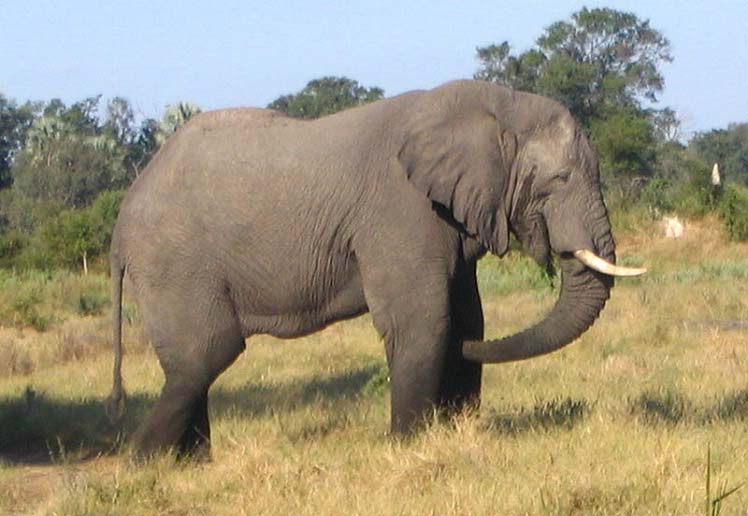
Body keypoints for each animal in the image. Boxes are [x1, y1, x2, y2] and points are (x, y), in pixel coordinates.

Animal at [107, 79, 644, 458]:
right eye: (560, 179)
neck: (493, 104)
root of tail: (119, 226)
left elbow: (466, 318)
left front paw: (453, 426)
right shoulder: (400, 210)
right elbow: (425, 321)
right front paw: (407, 445)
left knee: (194, 363)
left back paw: (189, 463)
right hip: (175, 262)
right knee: (205, 355)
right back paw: (144, 463)